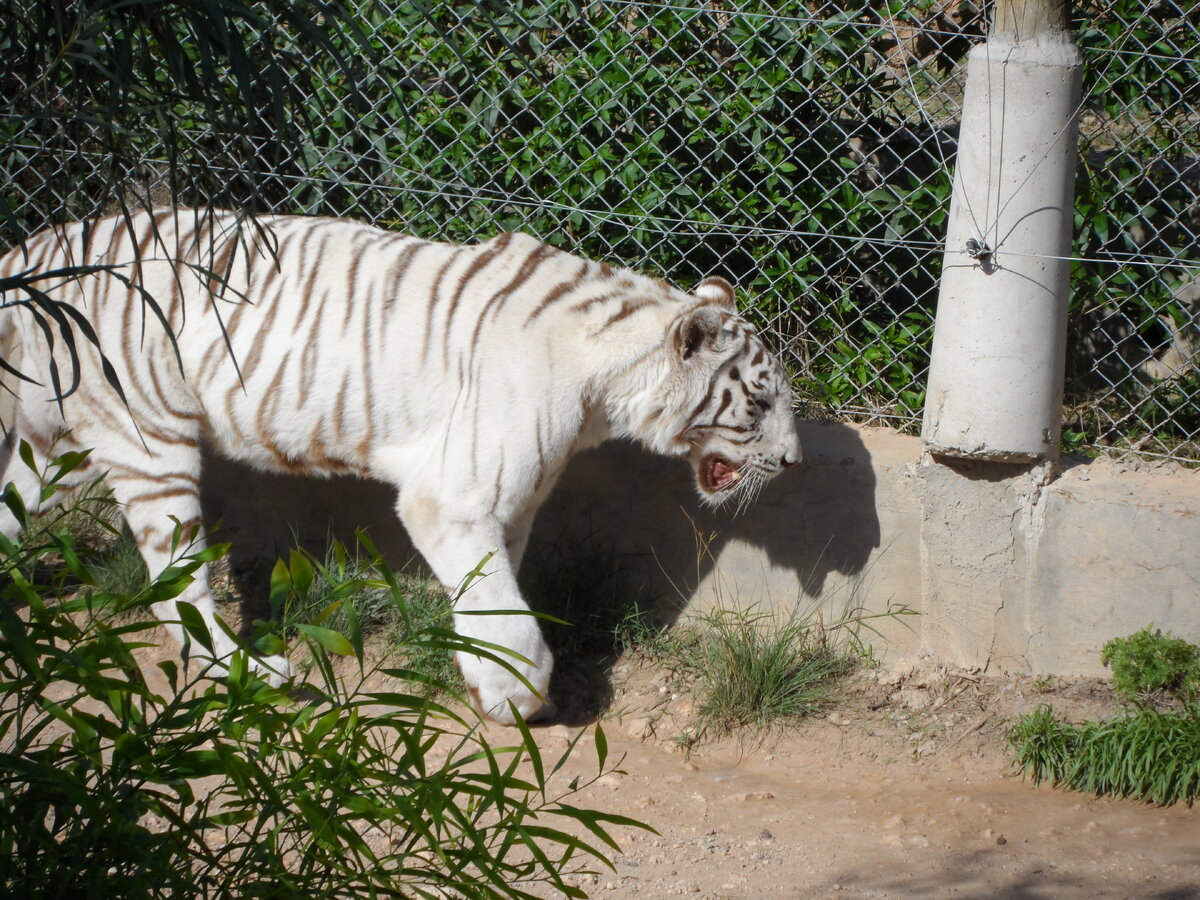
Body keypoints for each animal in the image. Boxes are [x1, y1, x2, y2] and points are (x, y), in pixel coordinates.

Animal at [2, 211, 806, 724]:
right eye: (762, 401)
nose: (795, 461)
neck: (607, 389)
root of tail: (31, 250)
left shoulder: (510, 505)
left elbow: (493, 595)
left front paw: (482, 678)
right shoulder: (452, 498)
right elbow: (508, 614)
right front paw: (517, 697)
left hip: (51, 448)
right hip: (146, 438)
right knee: (176, 586)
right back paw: (254, 673)